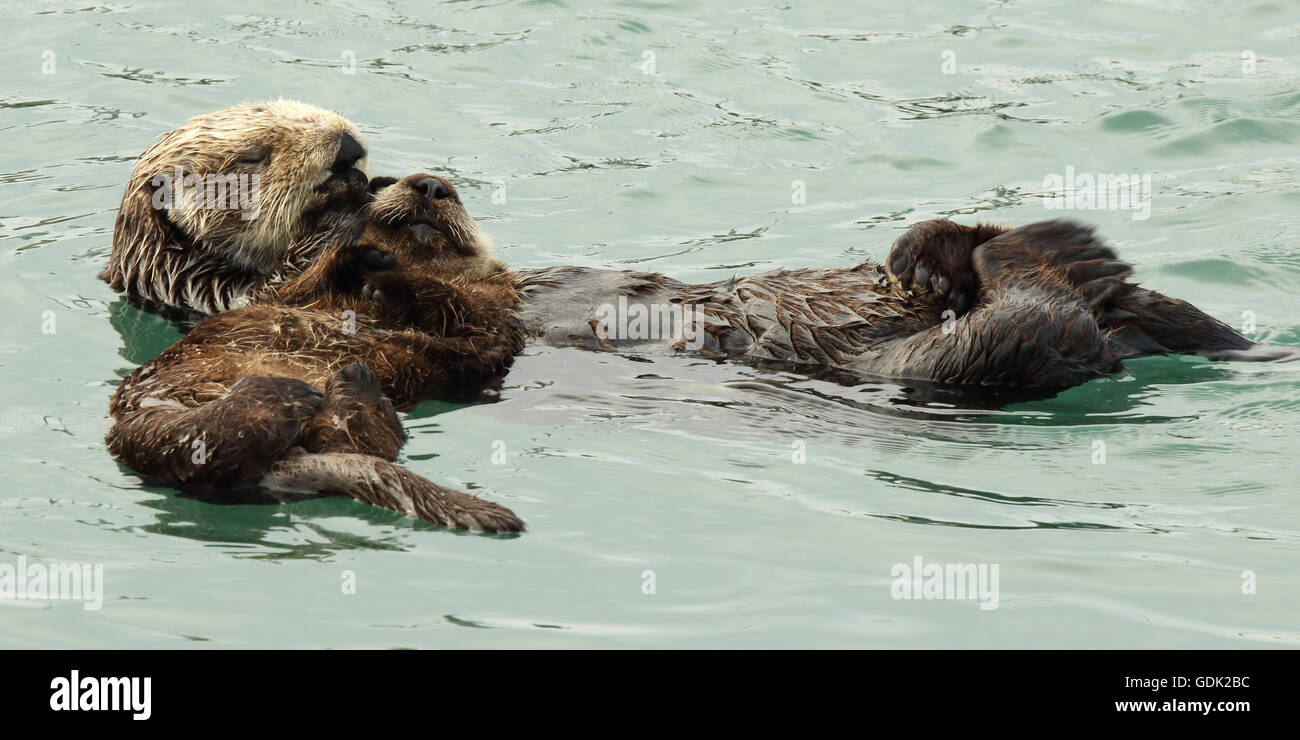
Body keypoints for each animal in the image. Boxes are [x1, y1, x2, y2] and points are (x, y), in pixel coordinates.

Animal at [100, 100, 371, 314]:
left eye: (306, 115)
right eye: (252, 158)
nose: (348, 149)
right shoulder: (194, 286)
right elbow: (269, 295)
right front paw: (343, 204)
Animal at [106, 172, 522, 530]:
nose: (432, 185)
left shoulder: (495, 317)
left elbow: (471, 314)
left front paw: (395, 282)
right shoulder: (276, 291)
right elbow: (292, 284)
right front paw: (359, 255)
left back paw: (329, 390)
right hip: (145, 422)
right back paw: (297, 393)